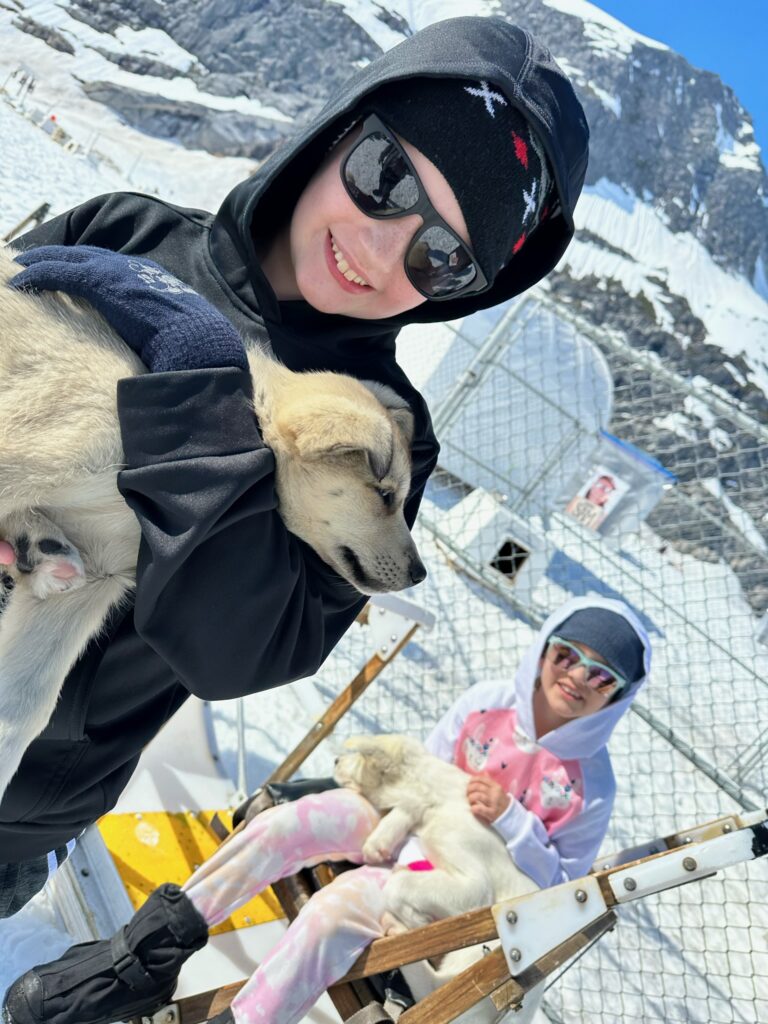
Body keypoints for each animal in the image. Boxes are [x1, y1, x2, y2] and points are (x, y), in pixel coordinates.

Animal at [333, 733, 536, 933]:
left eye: (358, 755)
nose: (335, 760)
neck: (436, 804)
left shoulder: (476, 886)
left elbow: (398, 883)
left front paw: (417, 921)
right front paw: (378, 843)